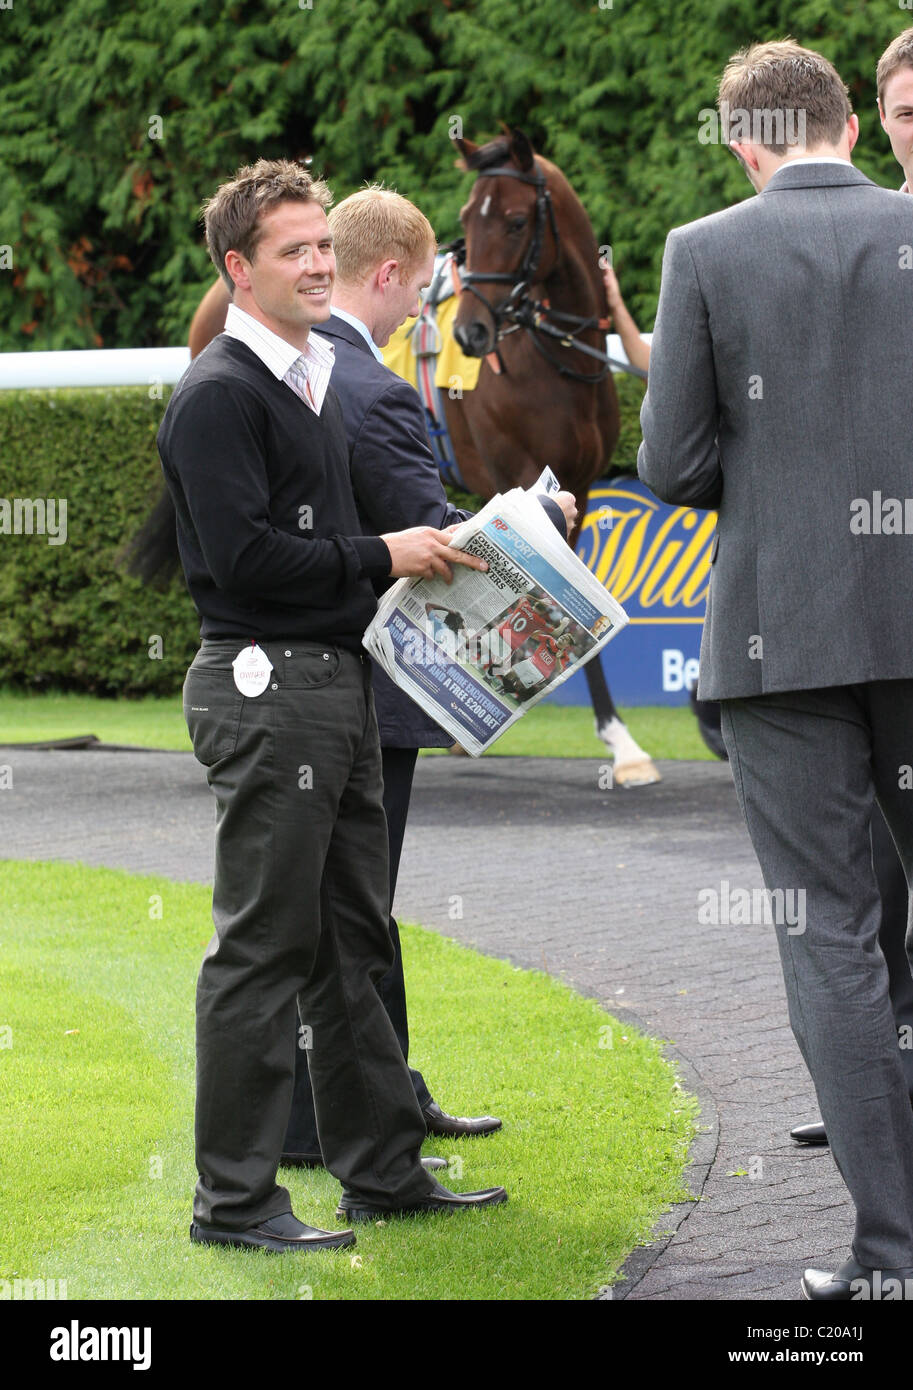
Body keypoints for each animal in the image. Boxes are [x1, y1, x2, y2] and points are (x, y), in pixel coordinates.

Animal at [136, 127, 655, 783]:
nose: (472, 335)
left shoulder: (580, 484)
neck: (556, 362)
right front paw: (622, 744)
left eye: (515, 221)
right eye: (468, 219)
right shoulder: (516, 477)